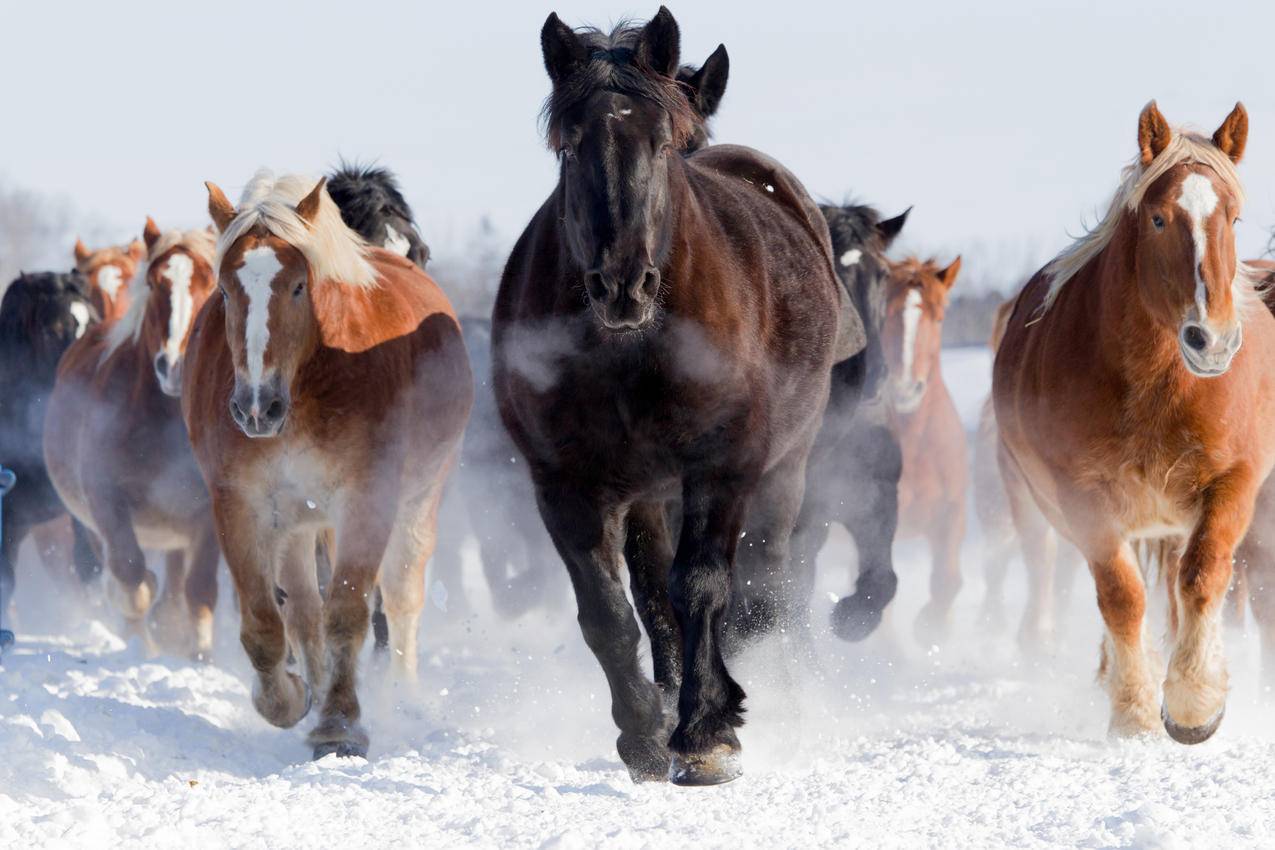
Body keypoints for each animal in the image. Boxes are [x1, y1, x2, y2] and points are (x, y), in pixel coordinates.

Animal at [46, 219, 221, 657]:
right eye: (156, 284)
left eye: (211, 283)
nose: (174, 366)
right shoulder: (106, 502)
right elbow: (129, 575)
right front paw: (140, 641)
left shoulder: (210, 510)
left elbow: (200, 586)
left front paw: (198, 652)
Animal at [184, 170, 469, 759]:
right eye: (224, 289)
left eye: (298, 286)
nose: (256, 407)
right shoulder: (239, 503)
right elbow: (266, 622)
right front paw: (290, 699)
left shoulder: (366, 500)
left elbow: (348, 611)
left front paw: (340, 726)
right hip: (298, 521)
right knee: (301, 609)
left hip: (417, 503)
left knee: (401, 600)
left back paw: (402, 696)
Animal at [497, 8, 846, 790]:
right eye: (569, 146)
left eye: (660, 143)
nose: (622, 284)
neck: (630, 350)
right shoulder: (567, 485)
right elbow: (610, 613)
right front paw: (645, 734)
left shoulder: (723, 466)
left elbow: (705, 588)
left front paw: (706, 732)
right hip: (650, 493)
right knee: (656, 597)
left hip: (785, 469)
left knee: (759, 590)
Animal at [994, 101, 1275, 744]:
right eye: (1158, 219)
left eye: (1235, 216)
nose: (1212, 341)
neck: (1156, 387)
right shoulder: (1083, 498)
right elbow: (1121, 597)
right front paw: (1136, 711)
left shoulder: (1235, 482)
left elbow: (1203, 575)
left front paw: (1195, 702)